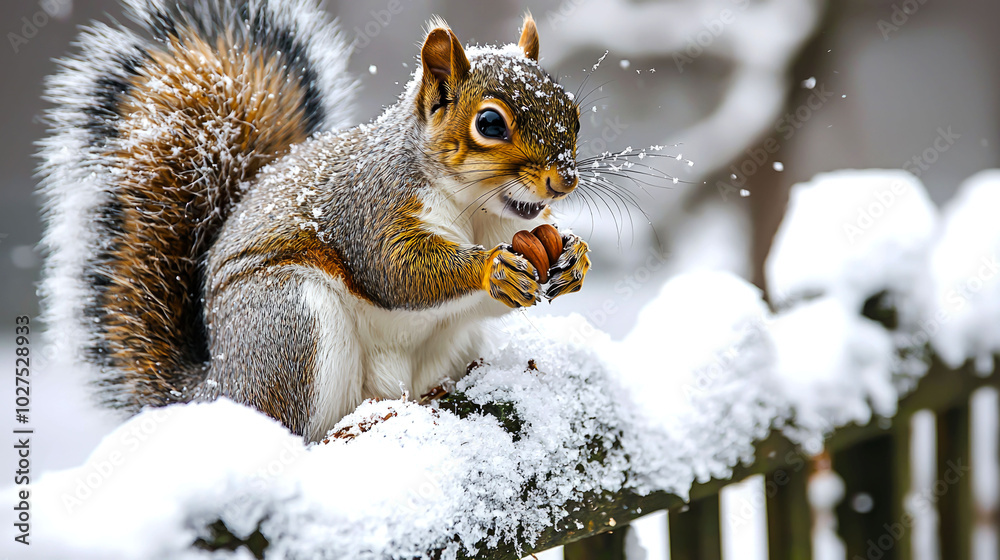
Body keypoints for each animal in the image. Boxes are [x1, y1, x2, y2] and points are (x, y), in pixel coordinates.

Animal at [38, 0, 590, 440]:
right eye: (489, 123)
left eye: (575, 114)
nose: (563, 180)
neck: (478, 210)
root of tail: (214, 390)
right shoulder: (371, 208)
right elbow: (395, 272)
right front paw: (492, 267)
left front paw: (575, 257)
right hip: (290, 325)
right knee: (297, 428)